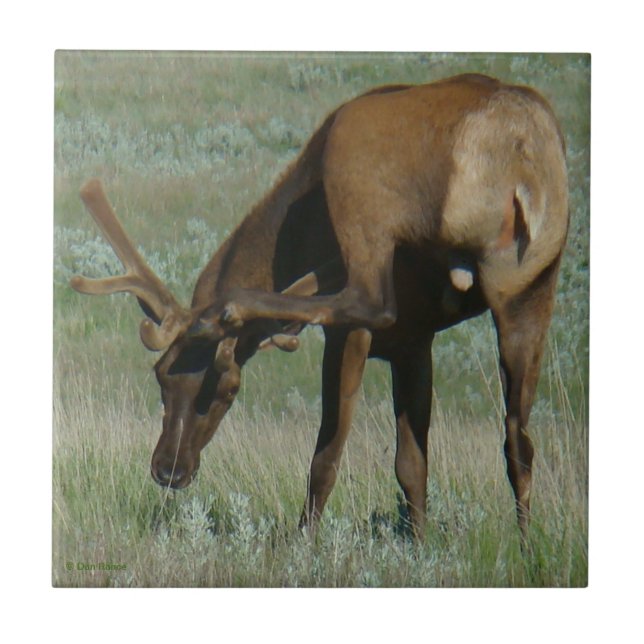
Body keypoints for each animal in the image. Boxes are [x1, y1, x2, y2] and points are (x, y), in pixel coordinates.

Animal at [70, 73, 568, 542]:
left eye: (228, 390)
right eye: (161, 375)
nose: (169, 468)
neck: (301, 235)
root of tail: (517, 149)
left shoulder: (358, 335)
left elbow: (326, 458)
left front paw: (303, 545)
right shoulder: (415, 340)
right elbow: (412, 465)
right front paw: (420, 546)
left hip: (356, 164)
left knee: (369, 298)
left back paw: (233, 307)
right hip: (531, 282)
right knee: (519, 440)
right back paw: (527, 549)